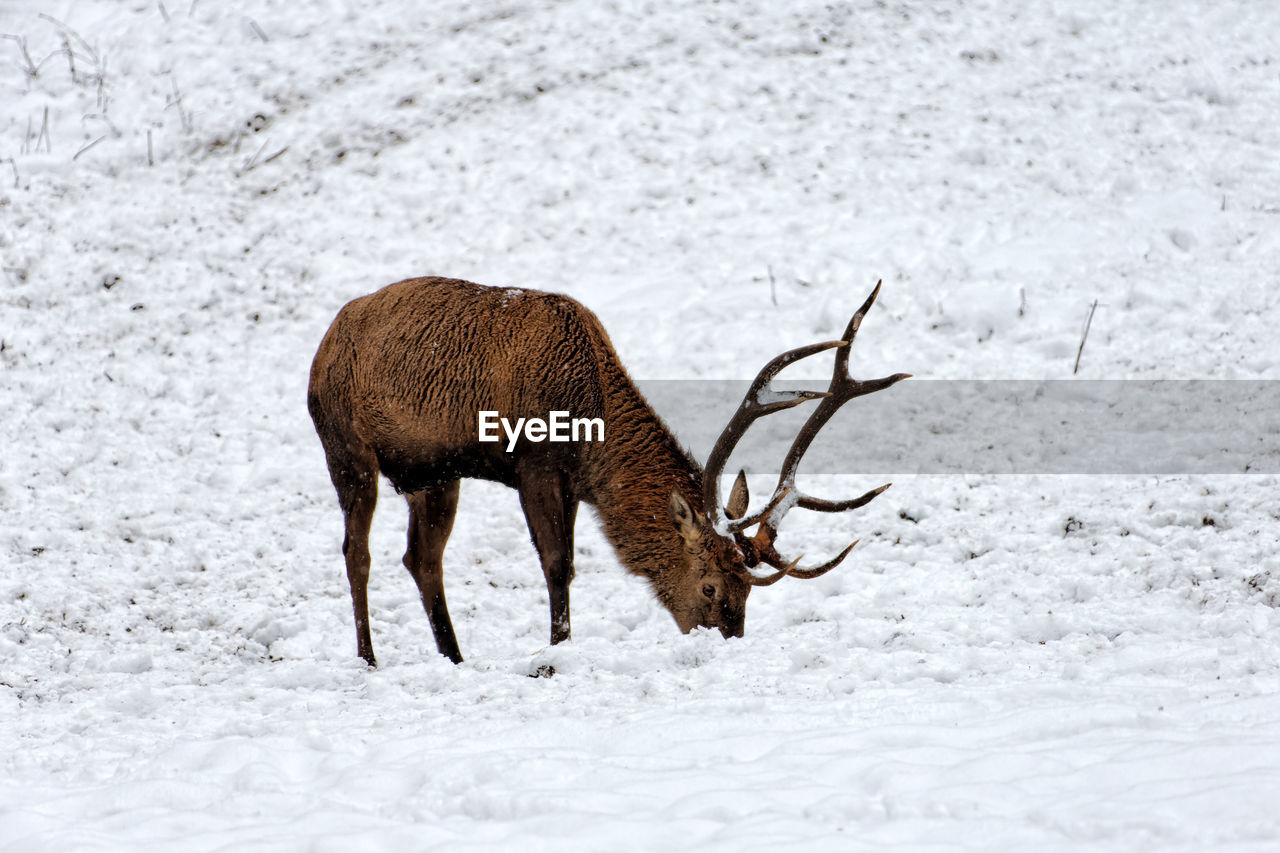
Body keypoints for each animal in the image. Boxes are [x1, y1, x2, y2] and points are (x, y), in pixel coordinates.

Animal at [309, 274, 911, 666]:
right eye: (711, 587)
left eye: (749, 591)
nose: (726, 644)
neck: (589, 419)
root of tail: (322, 345)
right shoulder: (536, 466)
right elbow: (558, 565)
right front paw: (559, 651)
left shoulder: (573, 484)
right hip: (346, 449)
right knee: (357, 552)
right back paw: (368, 658)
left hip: (434, 475)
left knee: (420, 558)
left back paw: (455, 658)